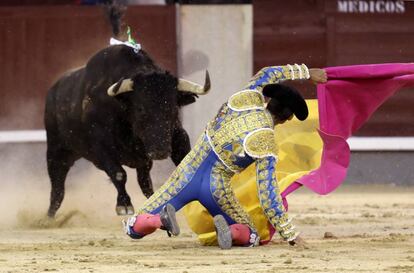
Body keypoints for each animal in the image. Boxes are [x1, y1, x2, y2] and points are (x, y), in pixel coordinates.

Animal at [44, 45, 210, 218]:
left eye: (173, 107)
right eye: (140, 108)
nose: (160, 152)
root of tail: (53, 91)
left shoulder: (178, 136)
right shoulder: (100, 147)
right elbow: (118, 174)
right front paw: (124, 205)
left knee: (144, 181)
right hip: (56, 151)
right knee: (57, 188)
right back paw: (49, 217)